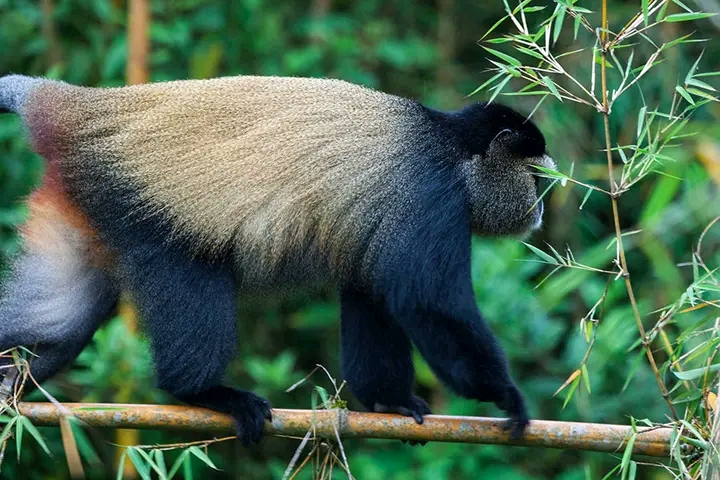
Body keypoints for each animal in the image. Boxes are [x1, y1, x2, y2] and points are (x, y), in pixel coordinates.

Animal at [0, 74, 555, 446]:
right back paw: (203, 393)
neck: (451, 146)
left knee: (62, 317)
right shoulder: (433, 199)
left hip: (85, 200)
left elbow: (371, 293)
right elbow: (429, 304)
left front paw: (387, 401)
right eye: (536, 178)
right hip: (138, 208)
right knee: (190, 279)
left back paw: (19, 380)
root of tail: (80, 107)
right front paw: (508, 397)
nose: (542, 207)